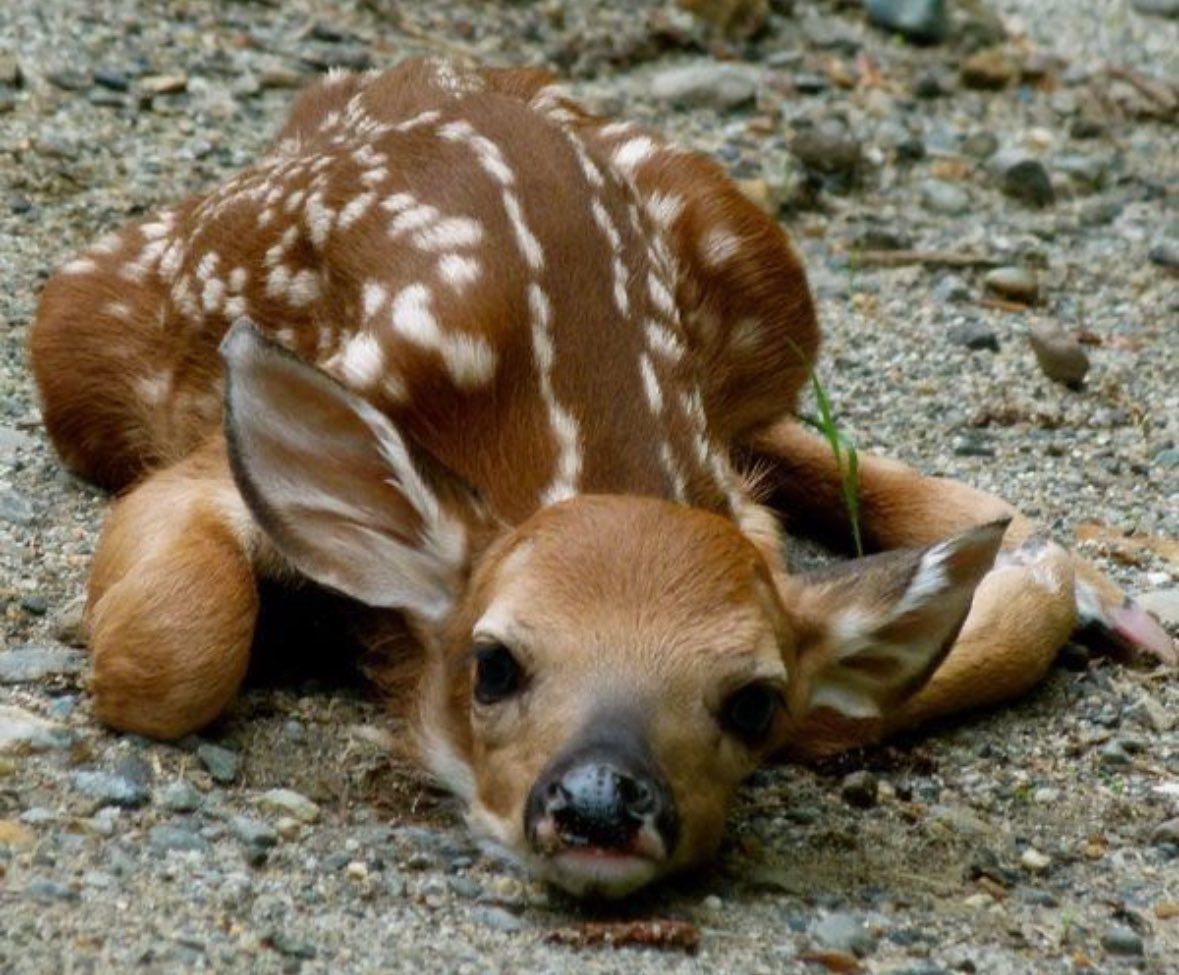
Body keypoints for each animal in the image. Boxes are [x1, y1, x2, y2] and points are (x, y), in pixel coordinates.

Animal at [29, 58, 1174, 899]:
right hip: (87, 327)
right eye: (492, 664)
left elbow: (839, 701)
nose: (599, 804)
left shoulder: (737, 516)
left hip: (763, 277)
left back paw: (1080, 581)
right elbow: (174, 655)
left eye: (749, 701)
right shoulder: (210, 472)